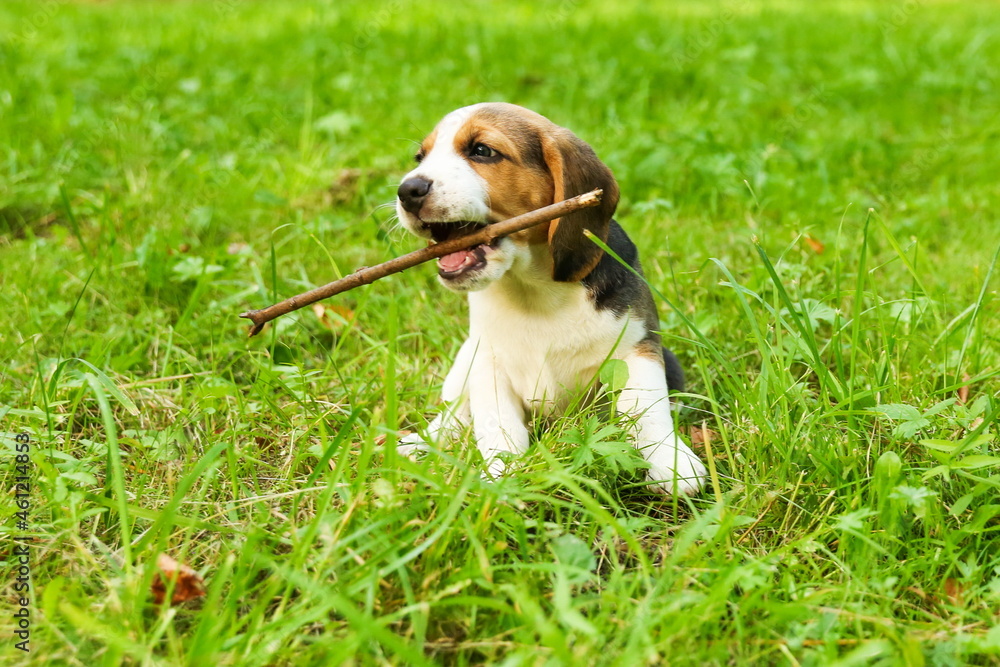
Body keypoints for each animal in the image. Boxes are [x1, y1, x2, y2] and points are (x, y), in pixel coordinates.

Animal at [394, 100, 708, 496]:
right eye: (420, 157)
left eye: (482, 150)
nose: (408, 189)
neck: (534, 289)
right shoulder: (488, 364)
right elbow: (498, 428)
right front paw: (502, 477)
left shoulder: (638, 347)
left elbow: (647, 409)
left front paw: (671, 462)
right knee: (455, 414)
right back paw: (424, 442)